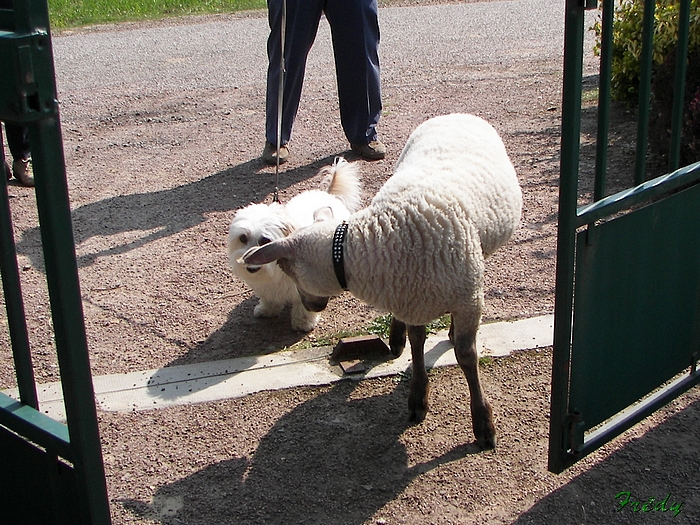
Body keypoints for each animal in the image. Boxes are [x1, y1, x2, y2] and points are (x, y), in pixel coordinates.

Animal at [230, 156, 360, 330]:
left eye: (265, 240)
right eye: (243, 238)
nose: (249, 265)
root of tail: (327, 194)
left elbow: (303, 306)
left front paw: (303, 322)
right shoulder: (267, 287)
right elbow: (269, 299)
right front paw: (267, 309)